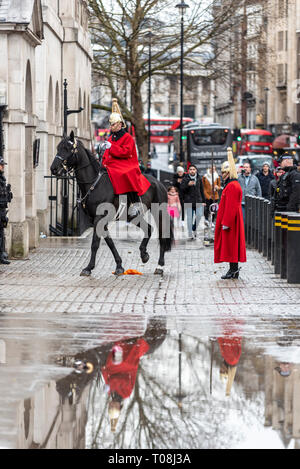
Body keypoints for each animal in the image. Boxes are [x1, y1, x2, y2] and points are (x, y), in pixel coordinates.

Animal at [50, 132, 175, 276]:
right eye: (58, 147)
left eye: (68, 149)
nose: (53, 169)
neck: (94, 184)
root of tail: (158, 183)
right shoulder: (96, 219)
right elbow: (109, 242)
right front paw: (119, 266)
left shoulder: (100, 218)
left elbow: (95, 244)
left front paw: (88, 268)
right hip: (132, 217)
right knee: (149, 229)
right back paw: (144, 254)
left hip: (158, 212)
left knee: (162, 235)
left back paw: (160, 266)